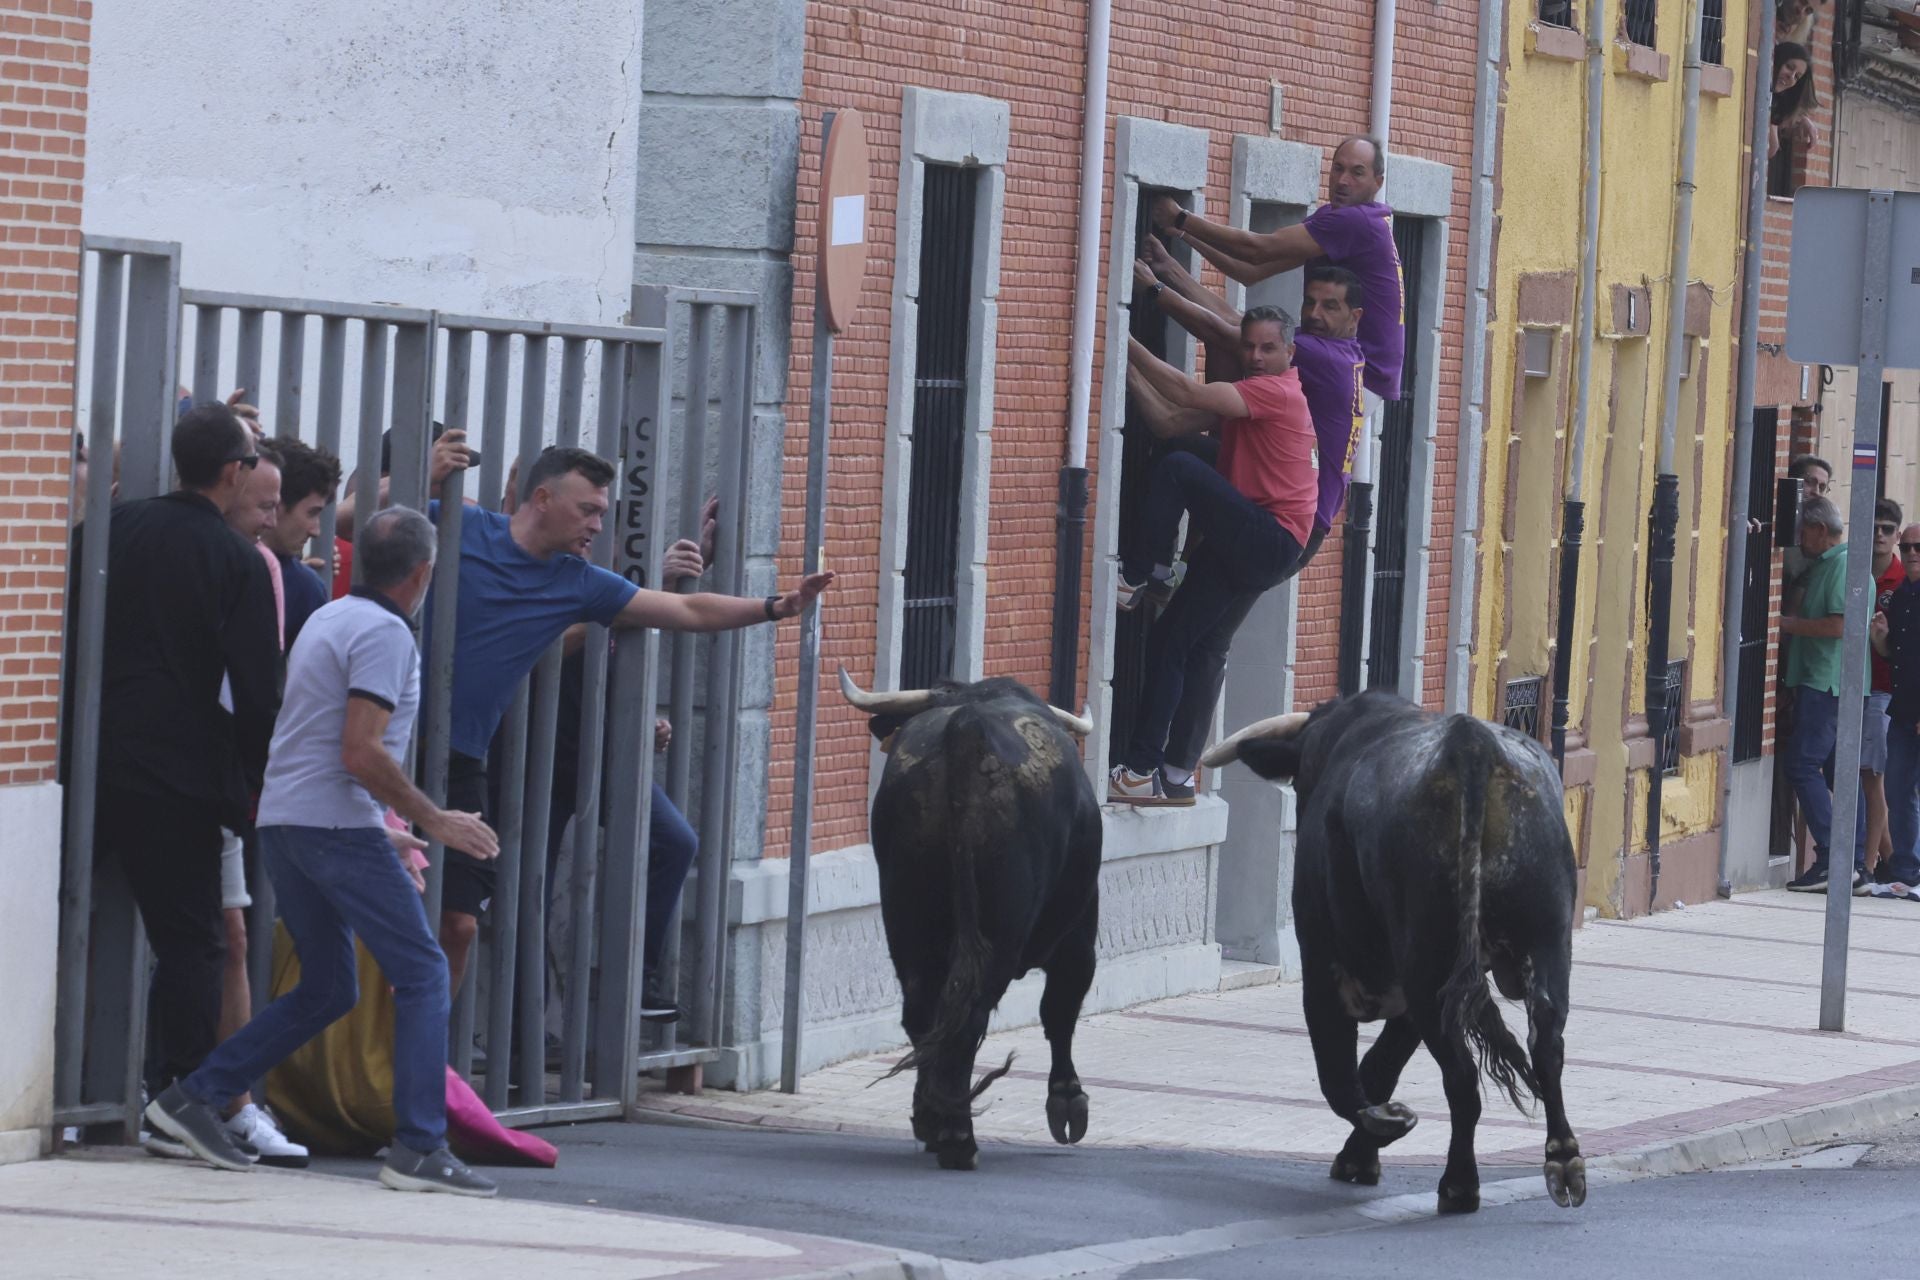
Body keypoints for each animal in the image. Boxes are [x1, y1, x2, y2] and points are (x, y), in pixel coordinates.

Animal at [838, 668, 1102, 1171]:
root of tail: (966, 727)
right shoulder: (1079, 938)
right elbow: (1059, 1012)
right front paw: (1067, 1100)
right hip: (999, 928)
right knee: (970, 1016)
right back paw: (959, 1136)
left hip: (907, 918)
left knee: (924, 1012)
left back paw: (932, 1117)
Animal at [1202, 691, 1585, 1214]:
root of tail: (1473, 746)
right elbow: (1380, 1066)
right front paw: (1362, 1153)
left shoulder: (1323, 968)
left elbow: (1343, 1073)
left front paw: (1375, 1133)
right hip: (1542, 944)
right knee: (1546, 1044)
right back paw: (1564, 1161)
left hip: (1428, 961)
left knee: (1461, 1077)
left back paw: (1460, 1185)